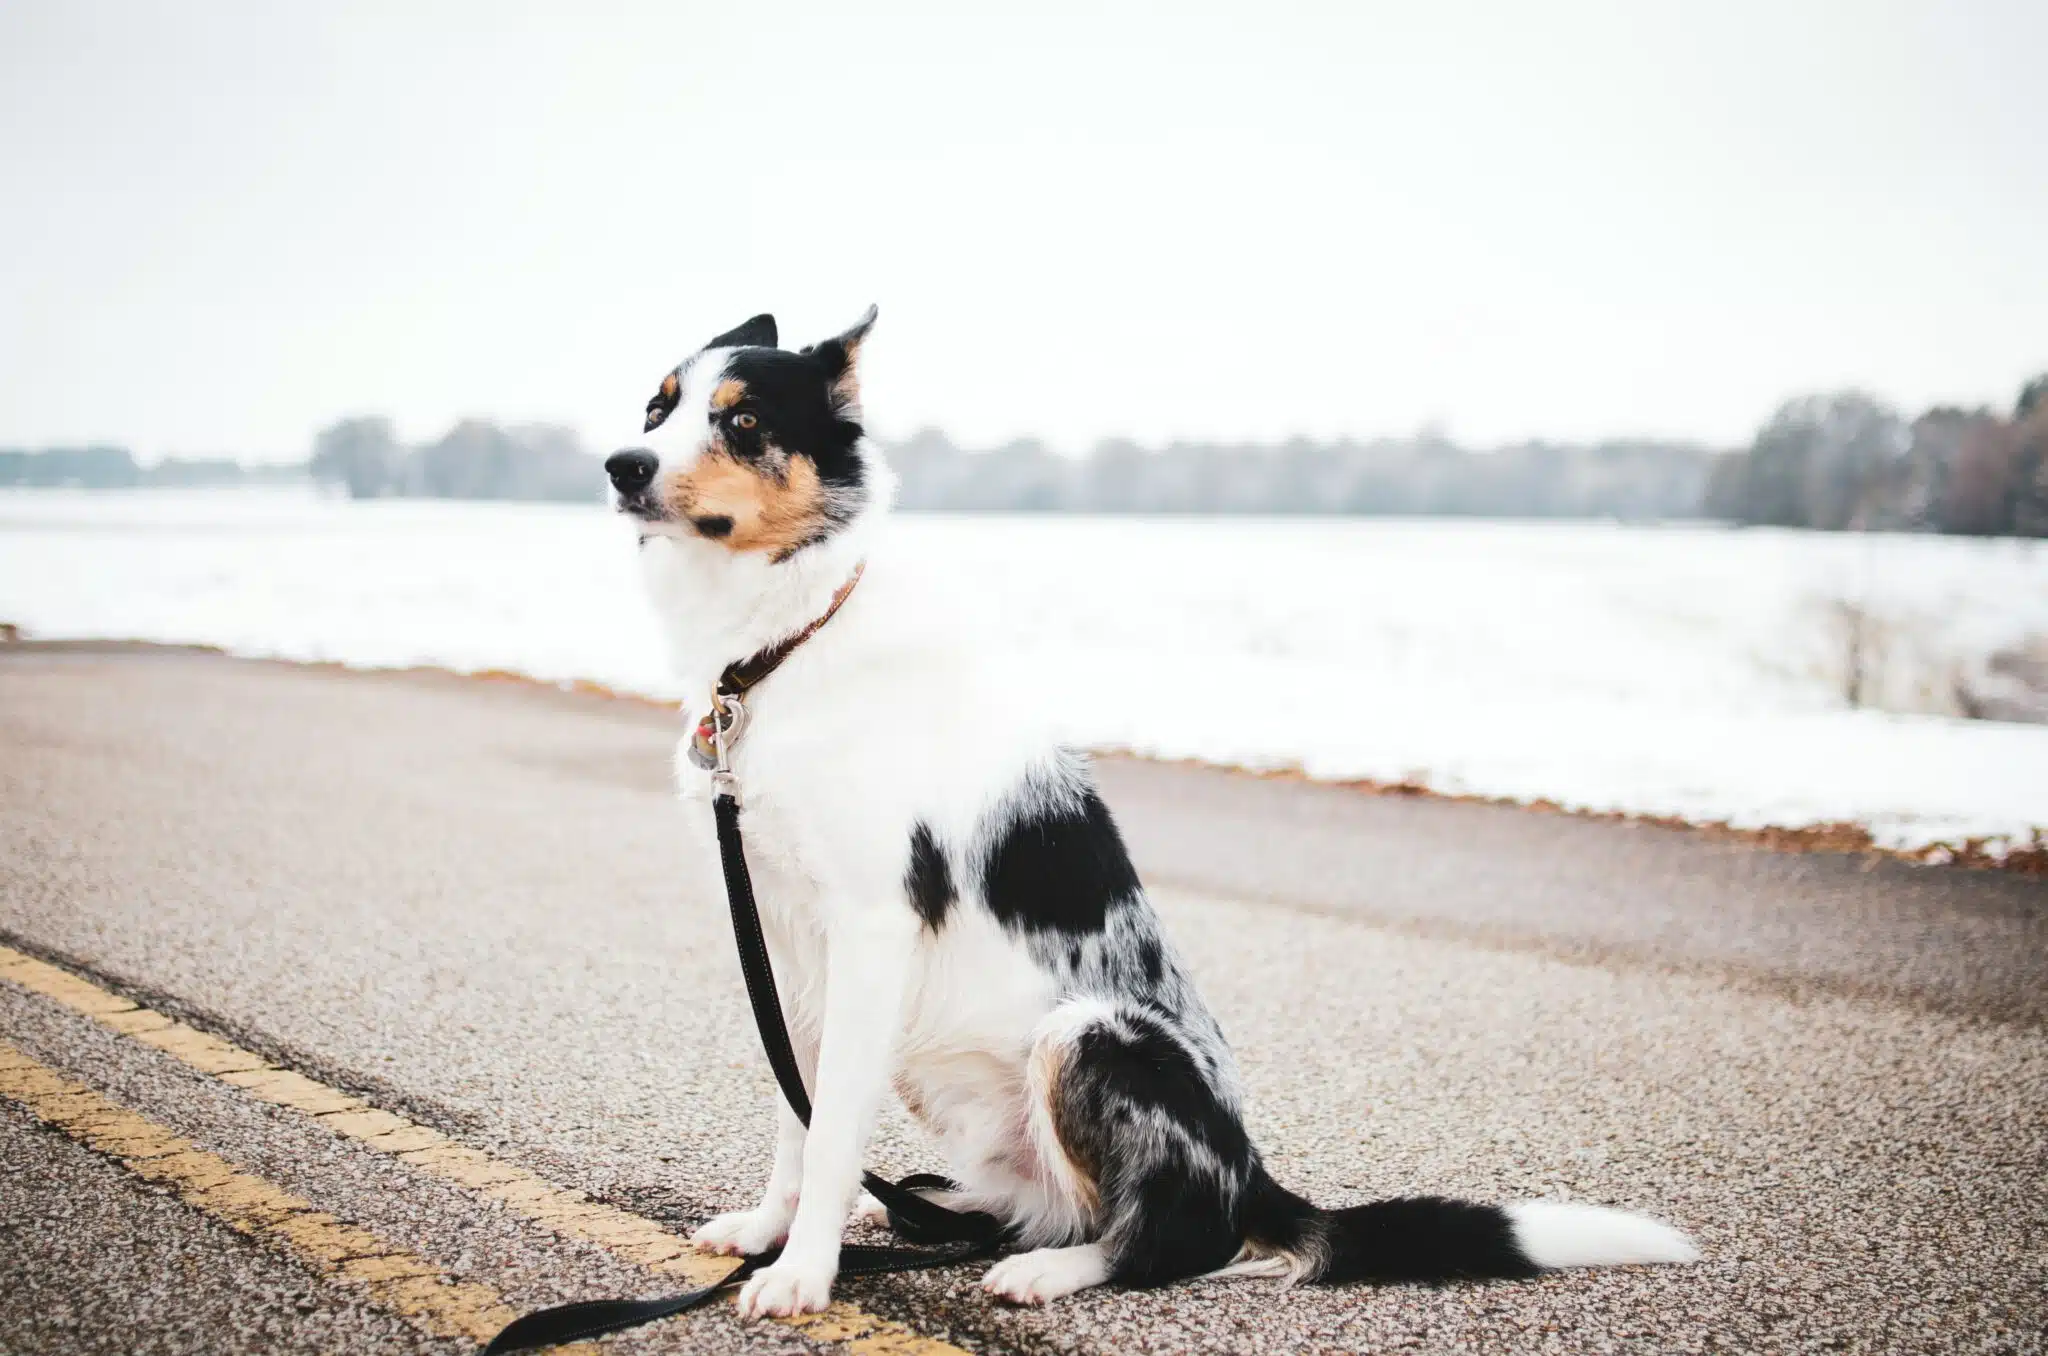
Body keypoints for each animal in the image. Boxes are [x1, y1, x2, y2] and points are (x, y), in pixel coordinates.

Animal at [606, 307, 1695, 1319]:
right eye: (657, 409)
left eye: (743, 420)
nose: (621, 465)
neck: (790, 640)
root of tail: (1253, 1180)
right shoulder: (789, 943)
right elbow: (796, 1115)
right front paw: (771, 1231)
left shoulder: (869, 928)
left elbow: (829, 1125)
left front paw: (802, 1273)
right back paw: (930, 1212)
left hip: (1089, 1034)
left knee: (1172, 1241)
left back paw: (1048, 1267)